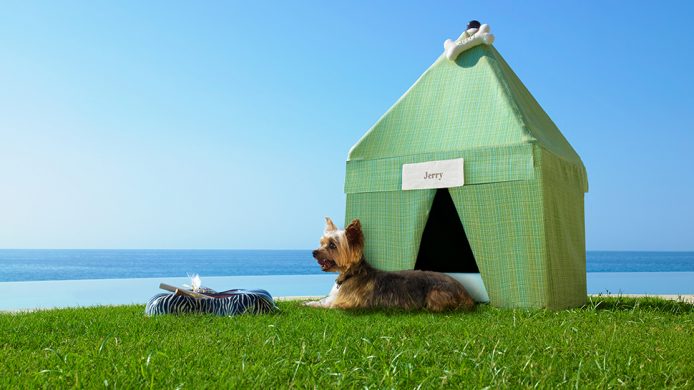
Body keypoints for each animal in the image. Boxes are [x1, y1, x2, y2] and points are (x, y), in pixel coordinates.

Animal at [308, 216, 476, 310]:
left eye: (332, 245)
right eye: (322, 243)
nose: (314, 252)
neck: (351, 273)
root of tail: (466, 294)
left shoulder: (345, 303)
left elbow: (329, 305)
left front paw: (312, 305)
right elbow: (322, 300)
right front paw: (311, 302)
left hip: (435, 294)